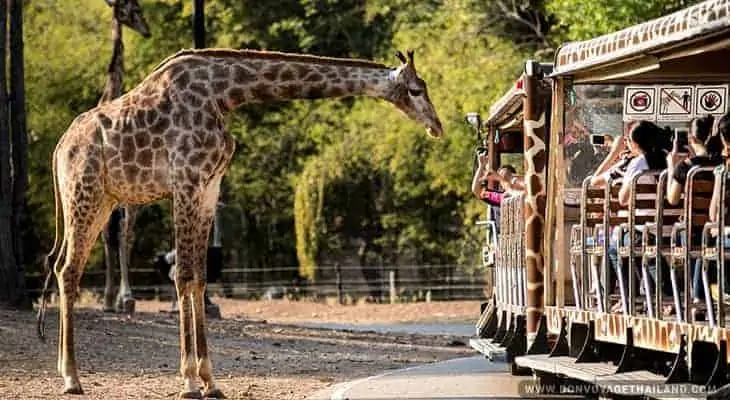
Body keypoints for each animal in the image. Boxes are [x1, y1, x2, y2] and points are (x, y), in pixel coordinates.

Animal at [38, 47, 444, 396]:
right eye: (416, 89)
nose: (437, 126)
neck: (224, 94)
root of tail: (59, 148)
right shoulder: (186, 181)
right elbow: (183, 275)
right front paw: (189, 382)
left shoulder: (209, 187)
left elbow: (200, 277)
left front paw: (210, 381)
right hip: (83, 193)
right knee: (69, 270)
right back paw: (71, 378)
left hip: (103, 200)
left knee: (61, 266)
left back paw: (66, 372)